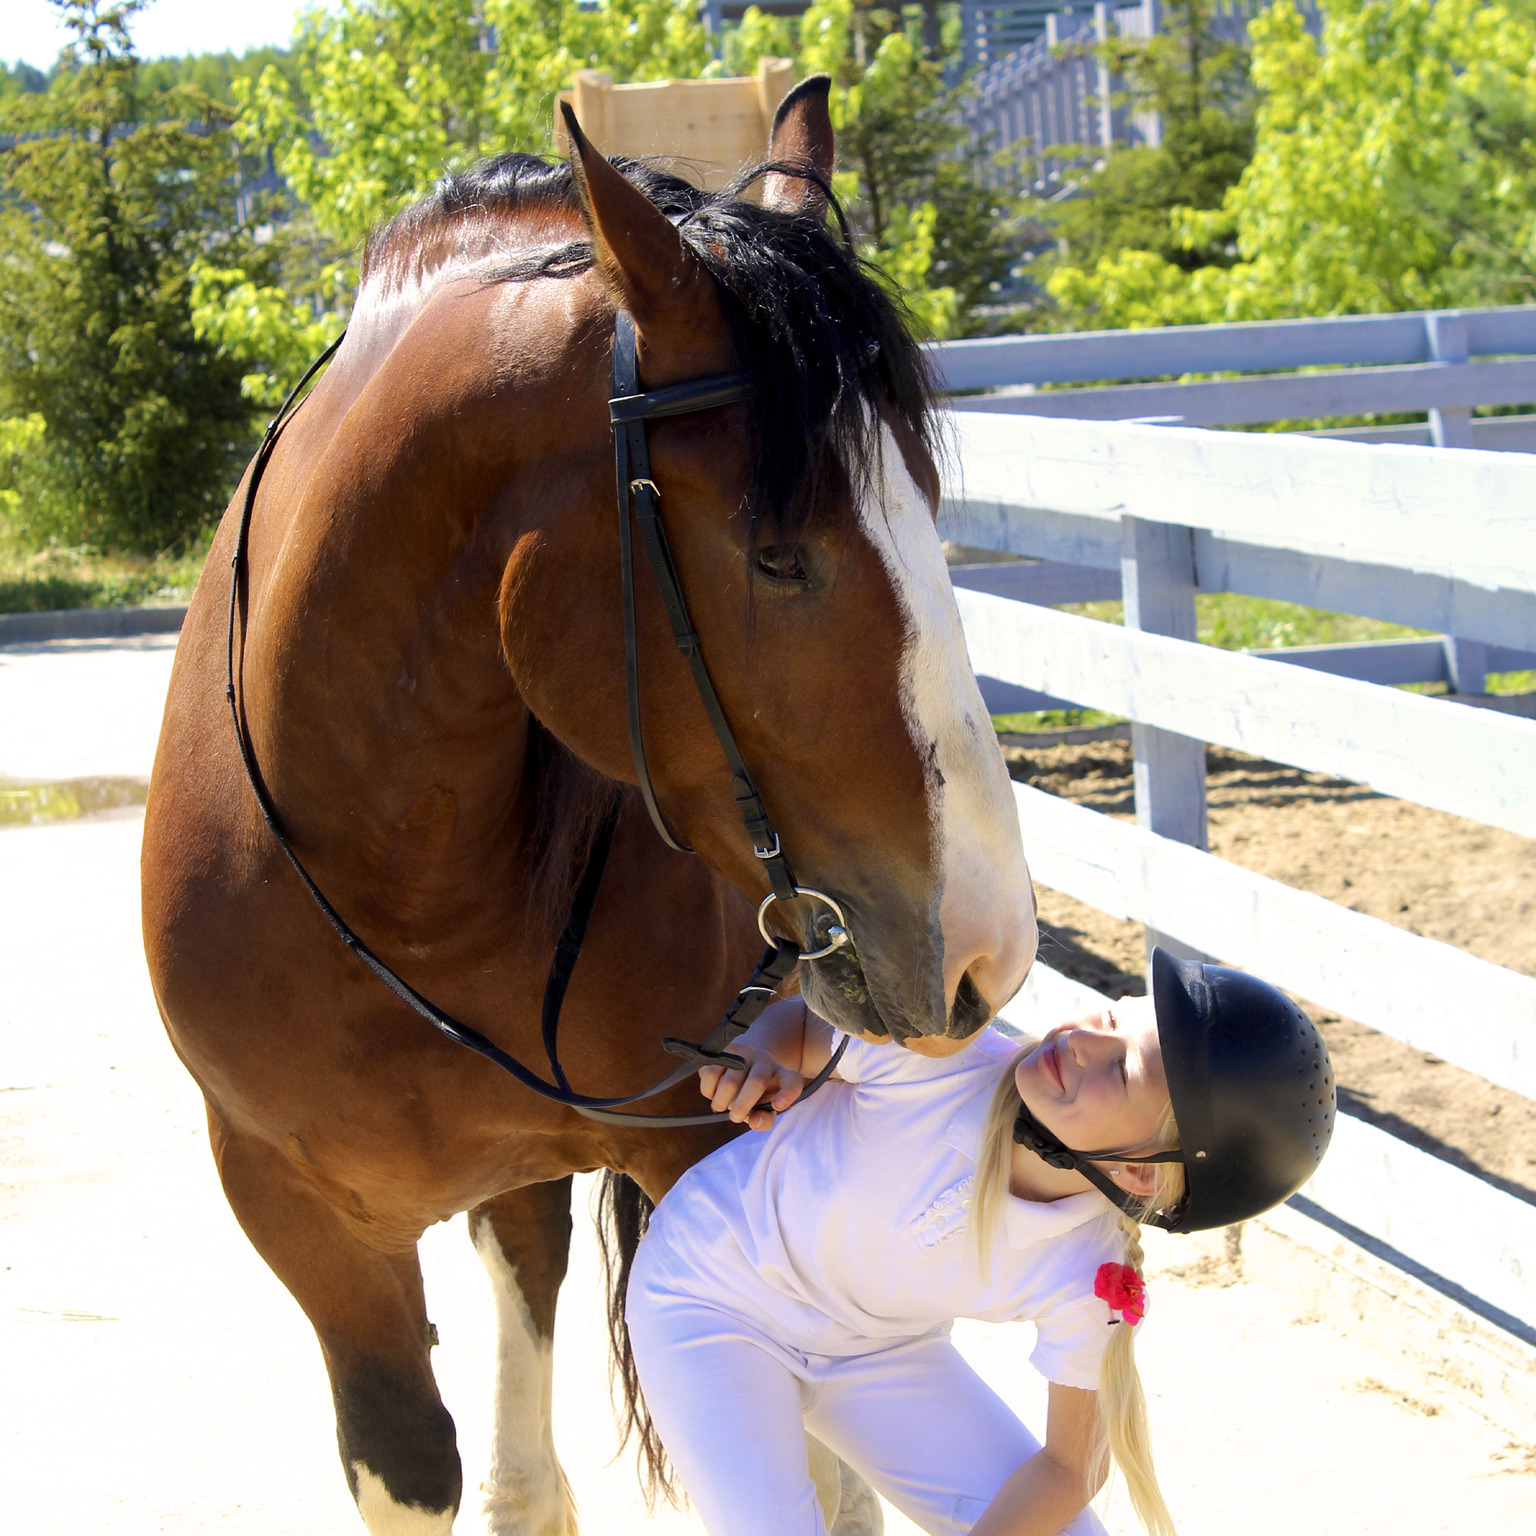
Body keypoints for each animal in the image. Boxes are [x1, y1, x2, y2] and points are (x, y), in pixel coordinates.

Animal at [141, 84, 1032, 1536]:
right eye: (775, 555)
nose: (986, 947)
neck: (411, 876)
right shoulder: (301, 1217)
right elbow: (413, 1465)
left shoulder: (710, 1161)